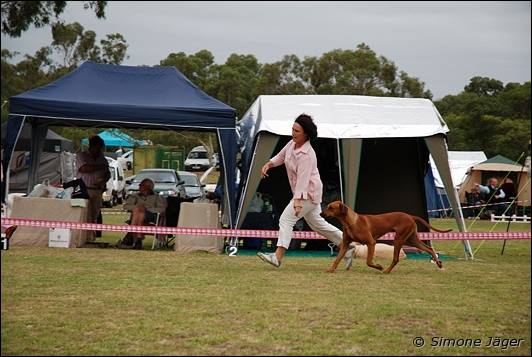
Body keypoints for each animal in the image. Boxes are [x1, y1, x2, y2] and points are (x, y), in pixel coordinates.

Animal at [320, 200, 448, 272]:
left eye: (331, 207)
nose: (321, 213)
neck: (351, 222)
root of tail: (410, 216)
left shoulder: (371, 243)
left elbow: (368, 261)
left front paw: (379, 267)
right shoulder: (345, 244)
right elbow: (337, 259)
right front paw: (331, 269)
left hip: (399, 239)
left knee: (396, 259)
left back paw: (386, 271)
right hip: (411, 240)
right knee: (429, 248)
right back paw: (438, 263)